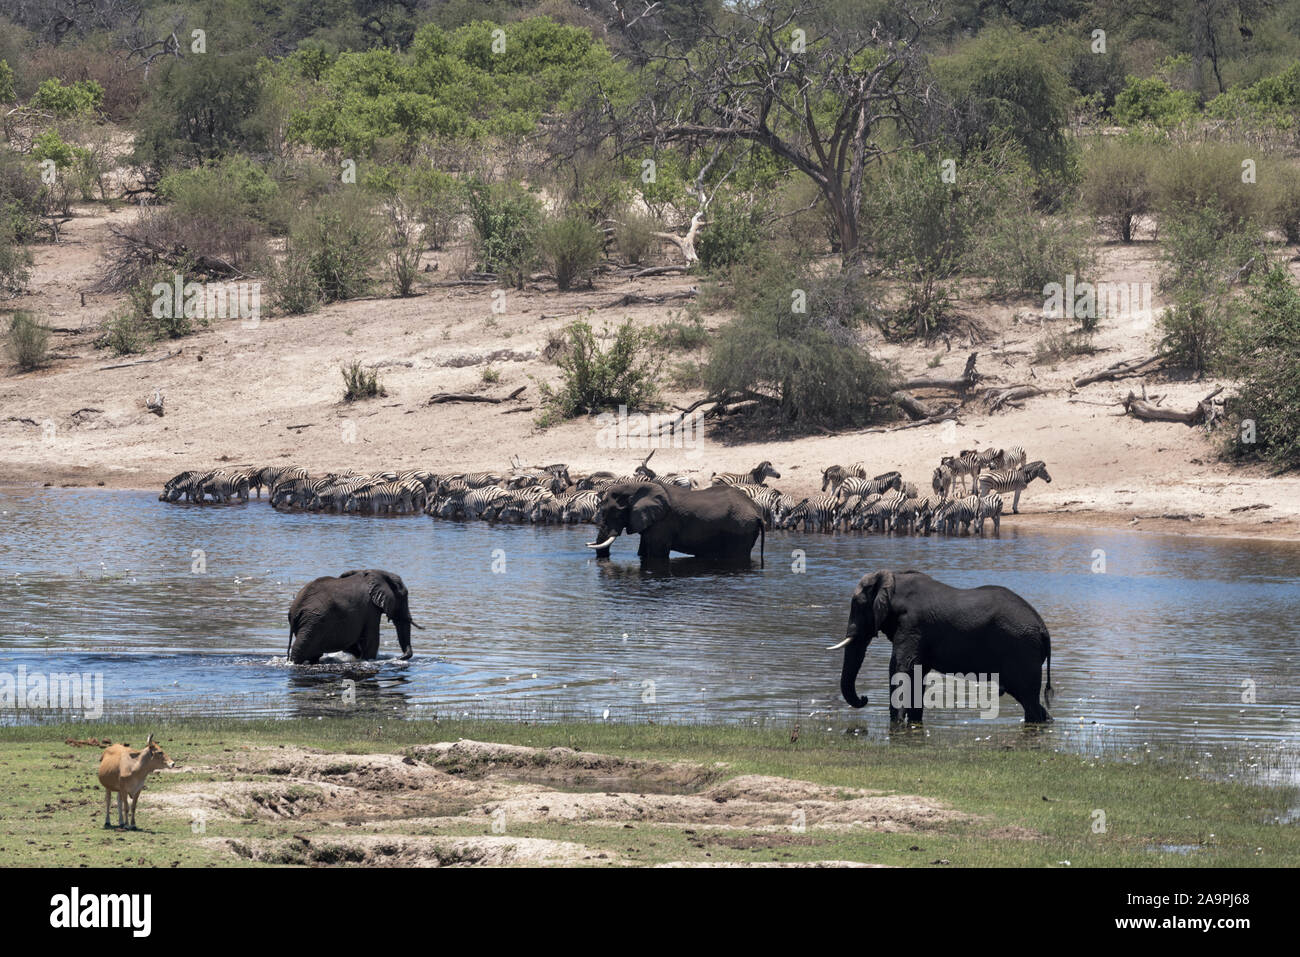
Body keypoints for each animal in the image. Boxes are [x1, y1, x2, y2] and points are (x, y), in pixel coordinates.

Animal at [287, 566, 423, 665]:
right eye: (404, 595)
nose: (399, 658)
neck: (376, 572)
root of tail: (295, 608)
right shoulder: (370, 608)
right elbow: (371, 640)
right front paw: (367, 659)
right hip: (314, 621)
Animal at [587, 481, 764, 564]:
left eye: (616, 513)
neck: (635, 486)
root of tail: (757, 512)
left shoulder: (664, 522)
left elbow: (657, 554)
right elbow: (642, 551)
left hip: (741, 528)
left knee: (736, 556)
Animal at [832, 572, 1055, 722]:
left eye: (857, 604)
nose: (864, 698)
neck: (893, 578)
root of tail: (1043, 629)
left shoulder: (911, 625)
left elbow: (900, 668)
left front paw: (897, 724)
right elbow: (916, 674)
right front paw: (912, 722)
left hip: (1022, 649)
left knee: (1028, 699)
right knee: (1029, 699)